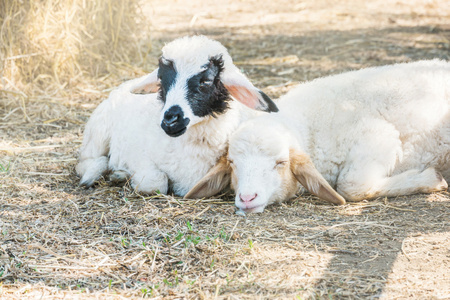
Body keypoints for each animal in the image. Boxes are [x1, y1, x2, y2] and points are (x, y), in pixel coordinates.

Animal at [75, 35, 276, 196]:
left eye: (206, 81)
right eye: (162, 80)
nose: (170, 119)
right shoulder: (139, 157)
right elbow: (157, 183)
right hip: (98, 133)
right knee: (86, 161)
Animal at [185, 59, 450, 212]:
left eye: (281, 163)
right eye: (232, 163)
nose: (248, 198)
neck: (306, 125)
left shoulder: (379, 137)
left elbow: (351, 187)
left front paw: (432, 179)